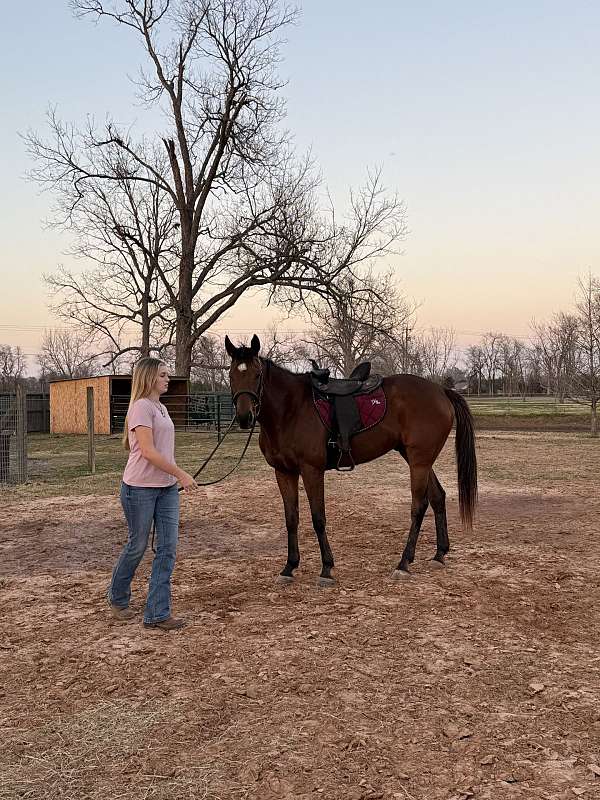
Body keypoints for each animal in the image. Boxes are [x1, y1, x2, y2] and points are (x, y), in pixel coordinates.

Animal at [225, 334, 477, 586]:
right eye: (231, 375)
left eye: (257, 375)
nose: (245, 417)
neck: (291, 409)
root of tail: (441, 390)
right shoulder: (284, 472)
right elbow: (291, 518)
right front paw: (289, 567)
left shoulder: (311, 470)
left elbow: (318, 518)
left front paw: (326, 569)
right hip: (418, 459)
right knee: (438, 497)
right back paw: (439, 554)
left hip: (419, 462)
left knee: (419, 506)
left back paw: (403, 563)